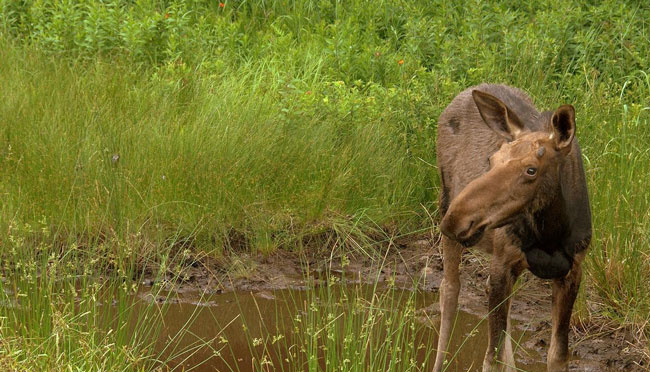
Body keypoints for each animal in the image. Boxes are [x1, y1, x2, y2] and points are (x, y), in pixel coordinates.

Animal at [432, 85, 588, 372]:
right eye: (492, 159)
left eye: (531, 170)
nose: (456, 219)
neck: (549, 237)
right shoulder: (502, 264)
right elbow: (490, 358)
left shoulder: (572, 270)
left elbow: (558, 354)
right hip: (445, 203)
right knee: (449, 290)